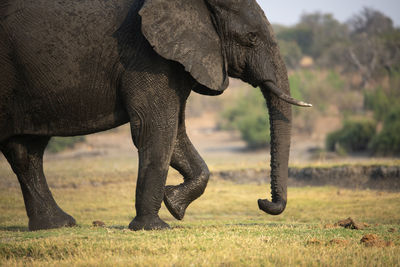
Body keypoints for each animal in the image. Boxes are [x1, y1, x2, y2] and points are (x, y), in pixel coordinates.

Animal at [0, 0, 310, 231]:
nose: (262, 201)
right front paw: (154, 226)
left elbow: (176, 132)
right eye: (251, 38)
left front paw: (174, 204)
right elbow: (156, 127)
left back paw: (56, 225)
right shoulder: (146, 56)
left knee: (25, 150)